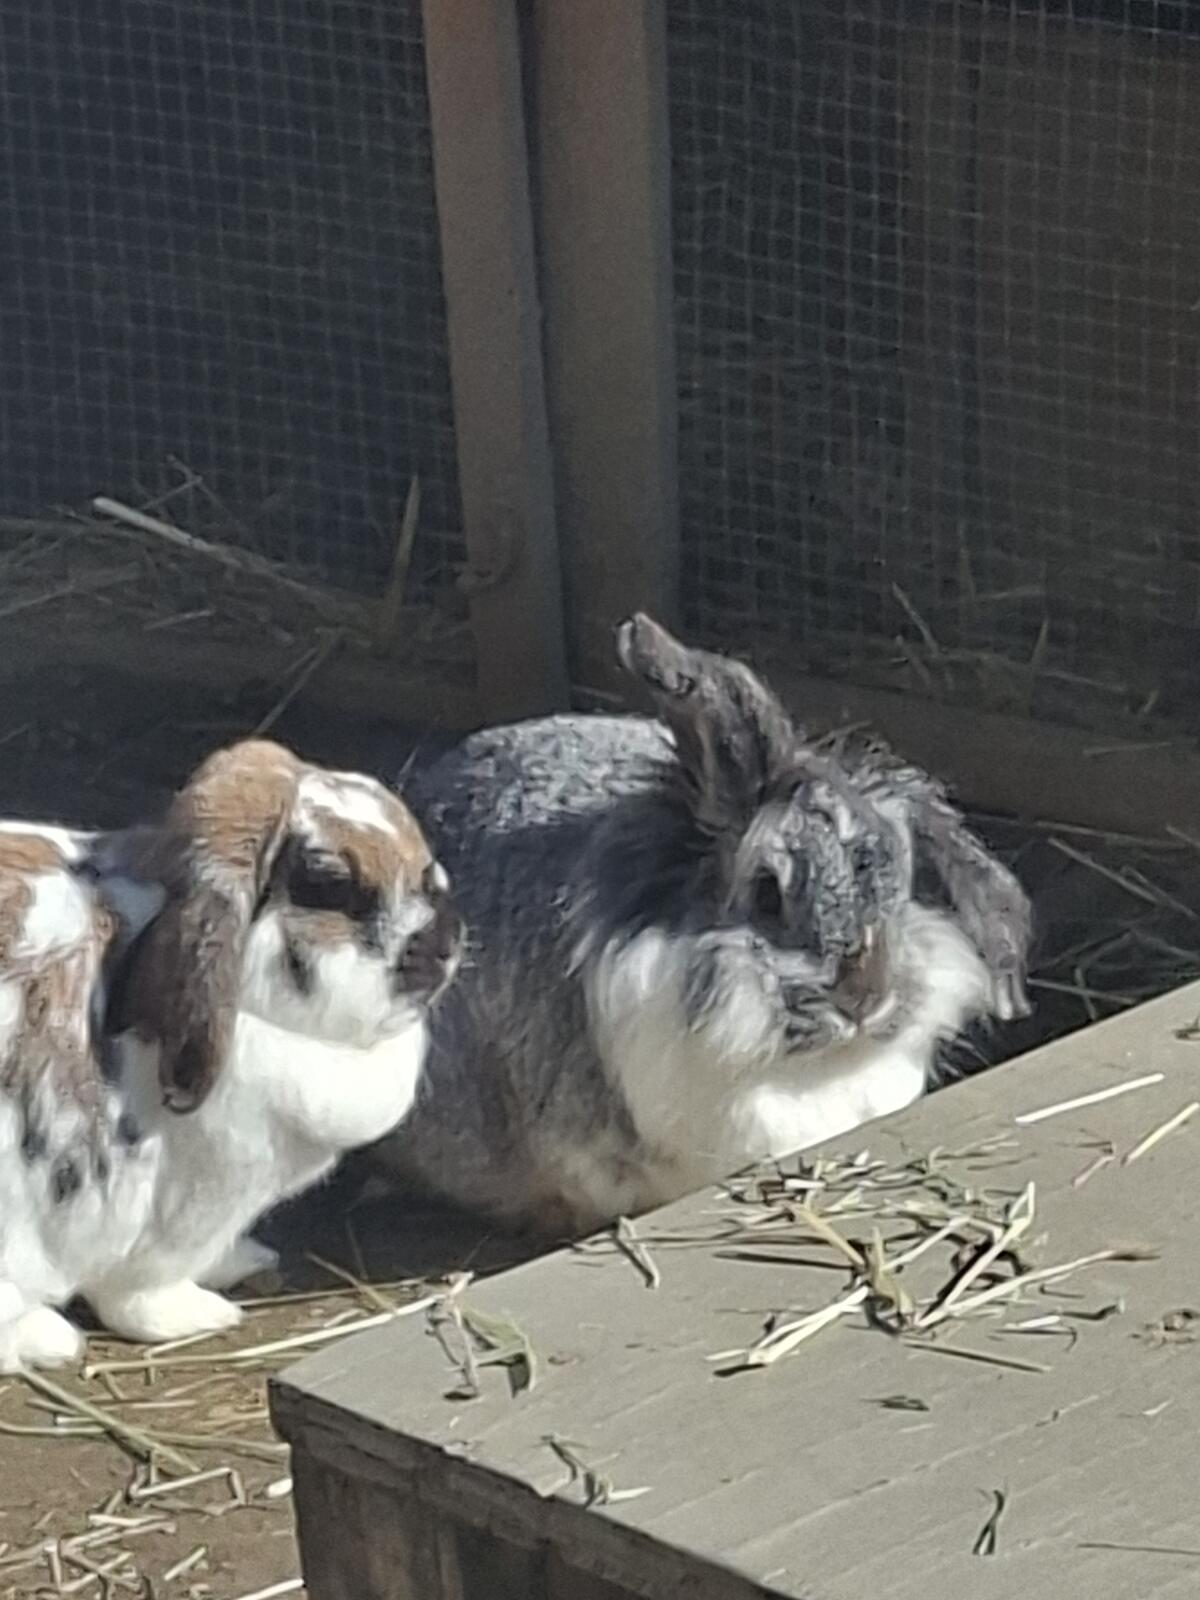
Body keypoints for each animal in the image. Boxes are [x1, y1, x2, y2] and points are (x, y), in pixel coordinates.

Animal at [0, 738, 461, 1371]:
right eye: (329, 884)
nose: (448, 942)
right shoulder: (174, 1217)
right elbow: (141, 1293)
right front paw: (202, 1315)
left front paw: (245, 1261)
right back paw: (51, 1339)